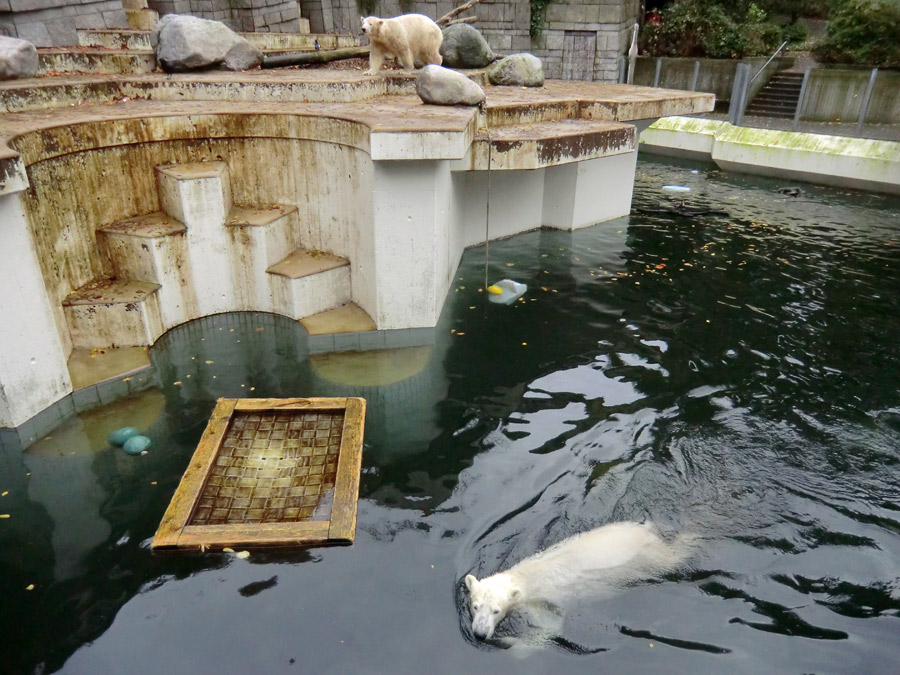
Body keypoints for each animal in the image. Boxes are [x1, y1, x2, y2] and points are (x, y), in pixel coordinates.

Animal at [464, 524, 696, 640]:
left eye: (496, 610)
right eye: (475, 606)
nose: (480, 634)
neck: (525, 578)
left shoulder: (543, 603)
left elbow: (549, 629)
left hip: (650, 558)